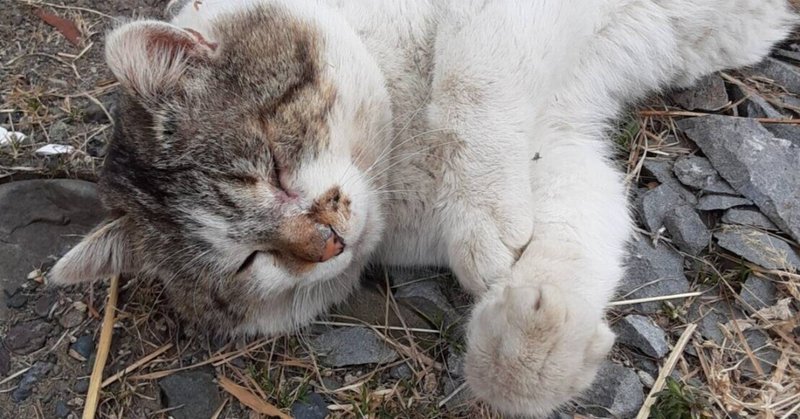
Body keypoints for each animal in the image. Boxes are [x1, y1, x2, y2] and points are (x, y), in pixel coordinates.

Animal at [48, 0, 792, 416]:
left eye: (273, 167)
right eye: (248, 262)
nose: (325, 239)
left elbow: (469, 79)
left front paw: (486, 218)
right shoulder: (560, 147)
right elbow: (578, 230)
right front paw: (530, 347)